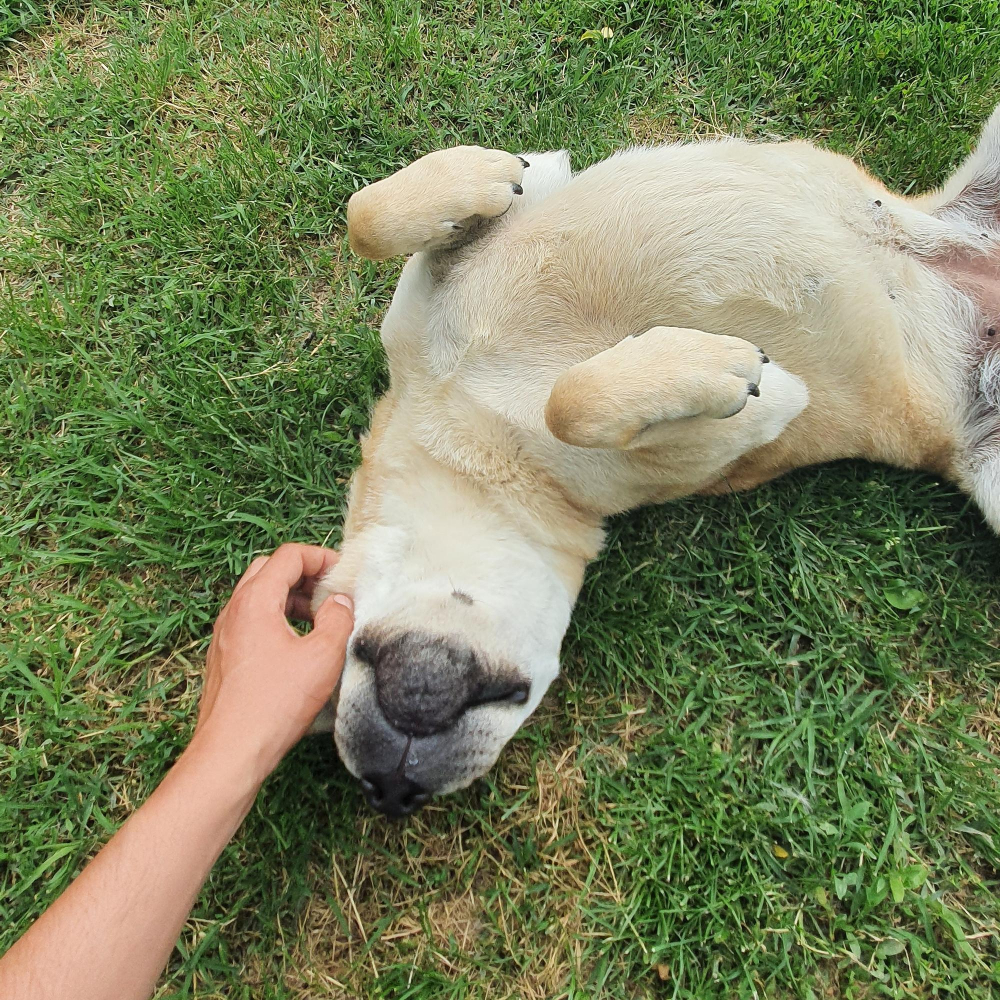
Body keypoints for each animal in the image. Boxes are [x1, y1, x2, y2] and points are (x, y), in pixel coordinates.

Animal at [312, 109, 1000, 816]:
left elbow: (366, 216)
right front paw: (719, 371)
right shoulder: (696, 454)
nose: (390, 793)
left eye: (341, 655)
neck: (457, 426)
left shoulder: (435, 300)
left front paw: (481, 172)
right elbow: (584, 401)